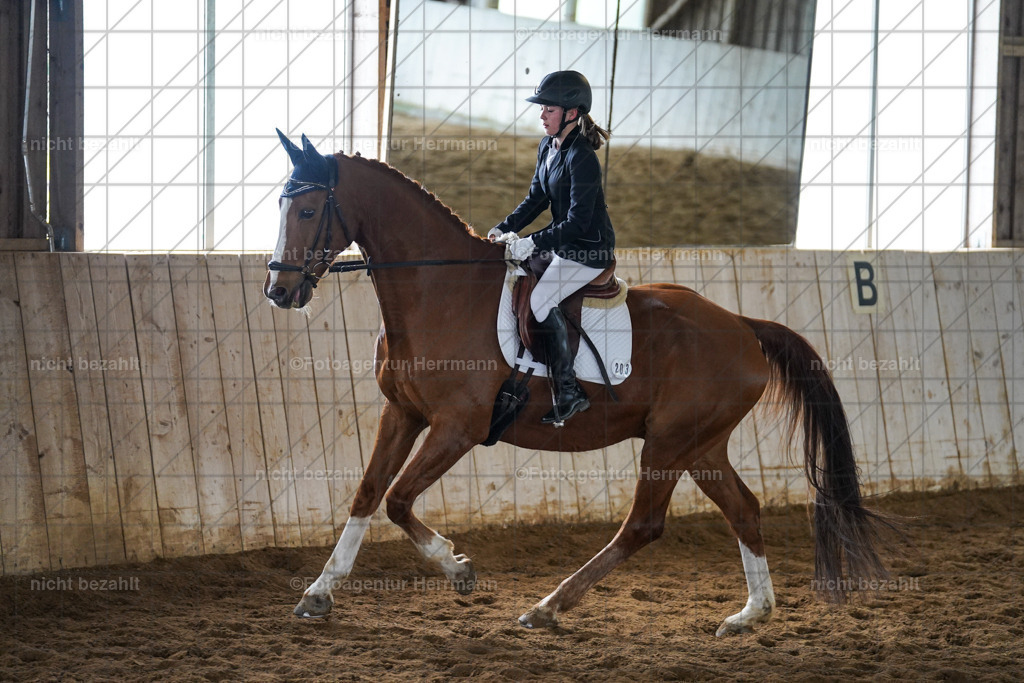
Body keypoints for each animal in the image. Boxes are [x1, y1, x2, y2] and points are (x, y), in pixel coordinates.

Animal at [264, 132, 888, 635]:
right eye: (283, 205)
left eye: (309, 209)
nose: (279, 291)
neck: (437, 290)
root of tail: (742, 325)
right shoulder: (403, 413)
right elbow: (369, 494)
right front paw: (319, 594)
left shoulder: (457, 427)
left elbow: (397, 500)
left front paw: (458, 568)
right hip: (700, 444)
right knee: (745, 509)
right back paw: (750, 614)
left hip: (669, 444)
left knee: (643, 526)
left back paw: (548, 607)